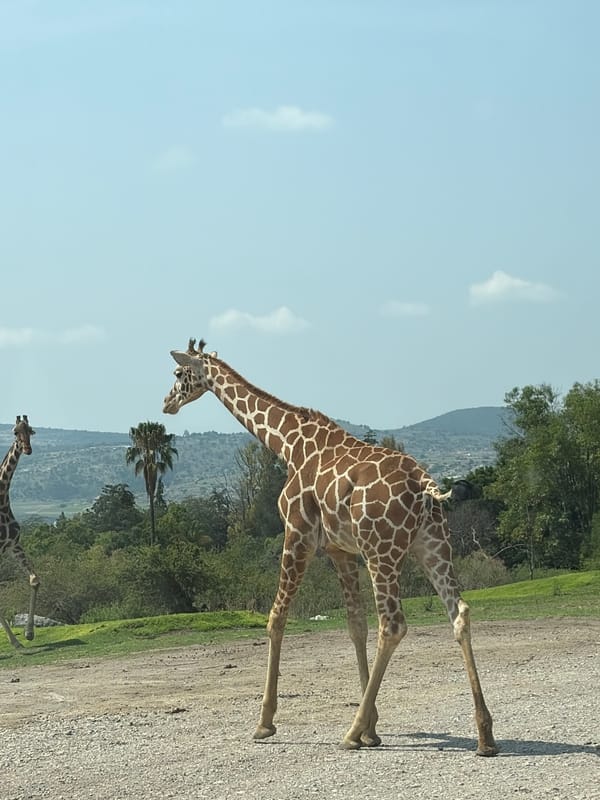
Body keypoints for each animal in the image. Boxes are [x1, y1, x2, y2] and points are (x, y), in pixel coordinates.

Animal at [163, 339, 498, 756]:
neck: (286, 443)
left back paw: (350, 732)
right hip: (432, 545)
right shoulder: (341, 550)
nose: (167, 402)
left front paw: (265, 722)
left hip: (382, 550)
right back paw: (485, 735)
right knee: (459, 613)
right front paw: (373, 728)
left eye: (178, 373)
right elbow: (355, 624)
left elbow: (276, 618)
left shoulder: (297, 533)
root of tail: (425, 486)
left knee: (393, 624)